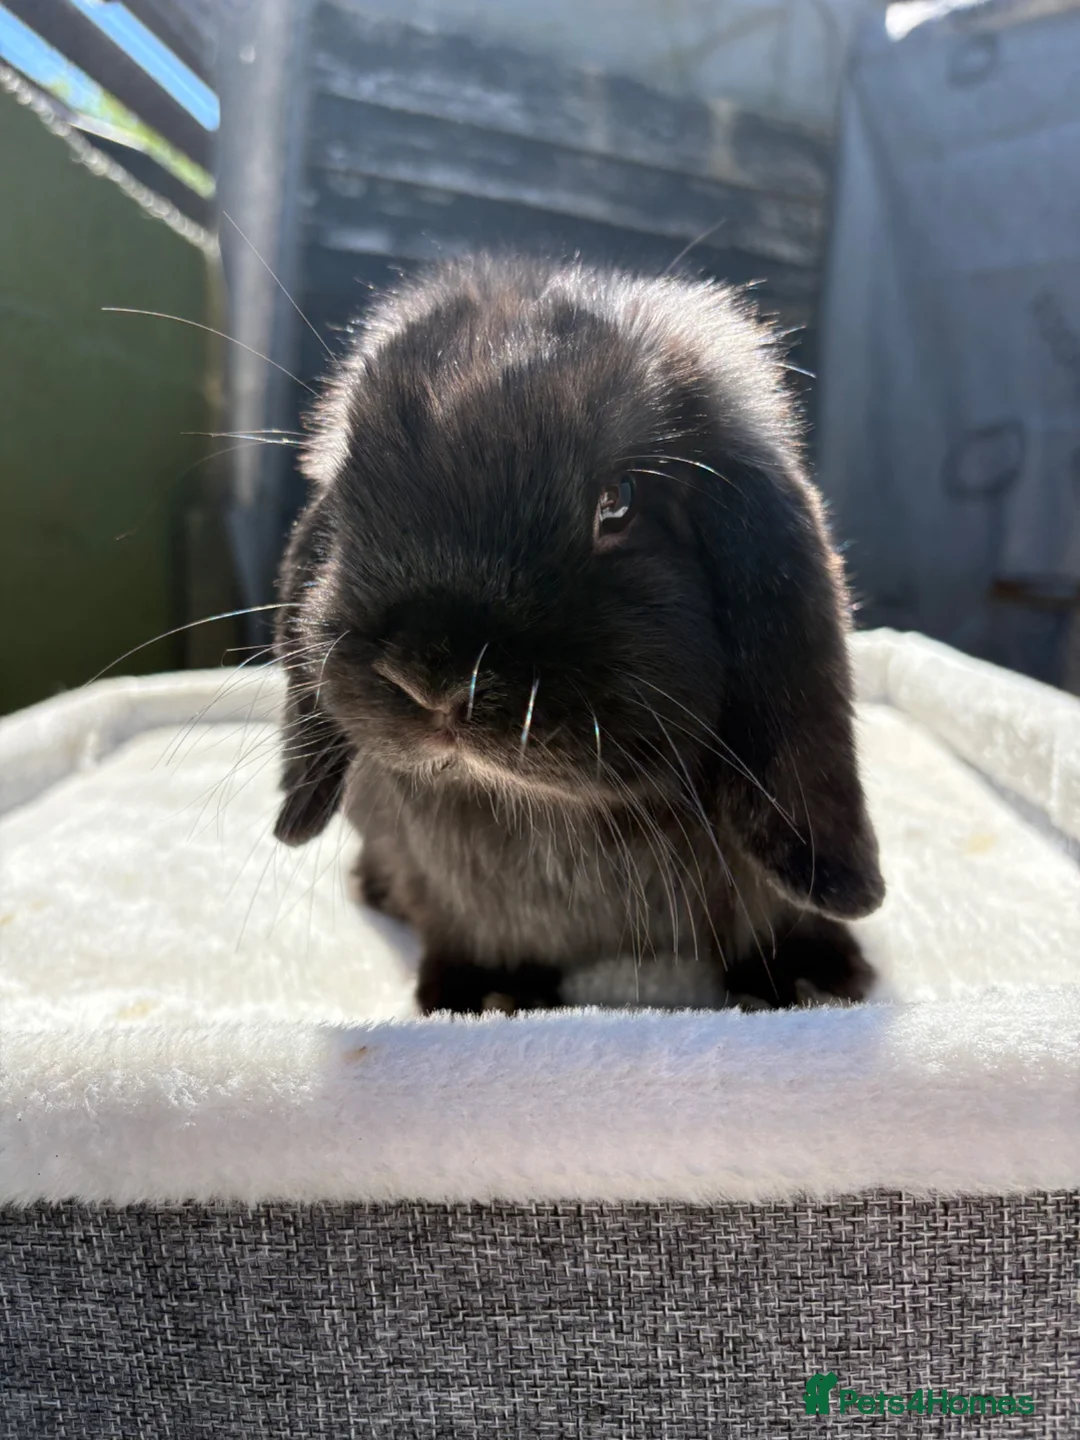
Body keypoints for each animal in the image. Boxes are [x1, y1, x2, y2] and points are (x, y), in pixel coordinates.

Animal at [272, 254, 885, 1015]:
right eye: (353, 493)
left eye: (618, 503)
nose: (430, 676)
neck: (556, 814)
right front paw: (488, 997)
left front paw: (809, 980)